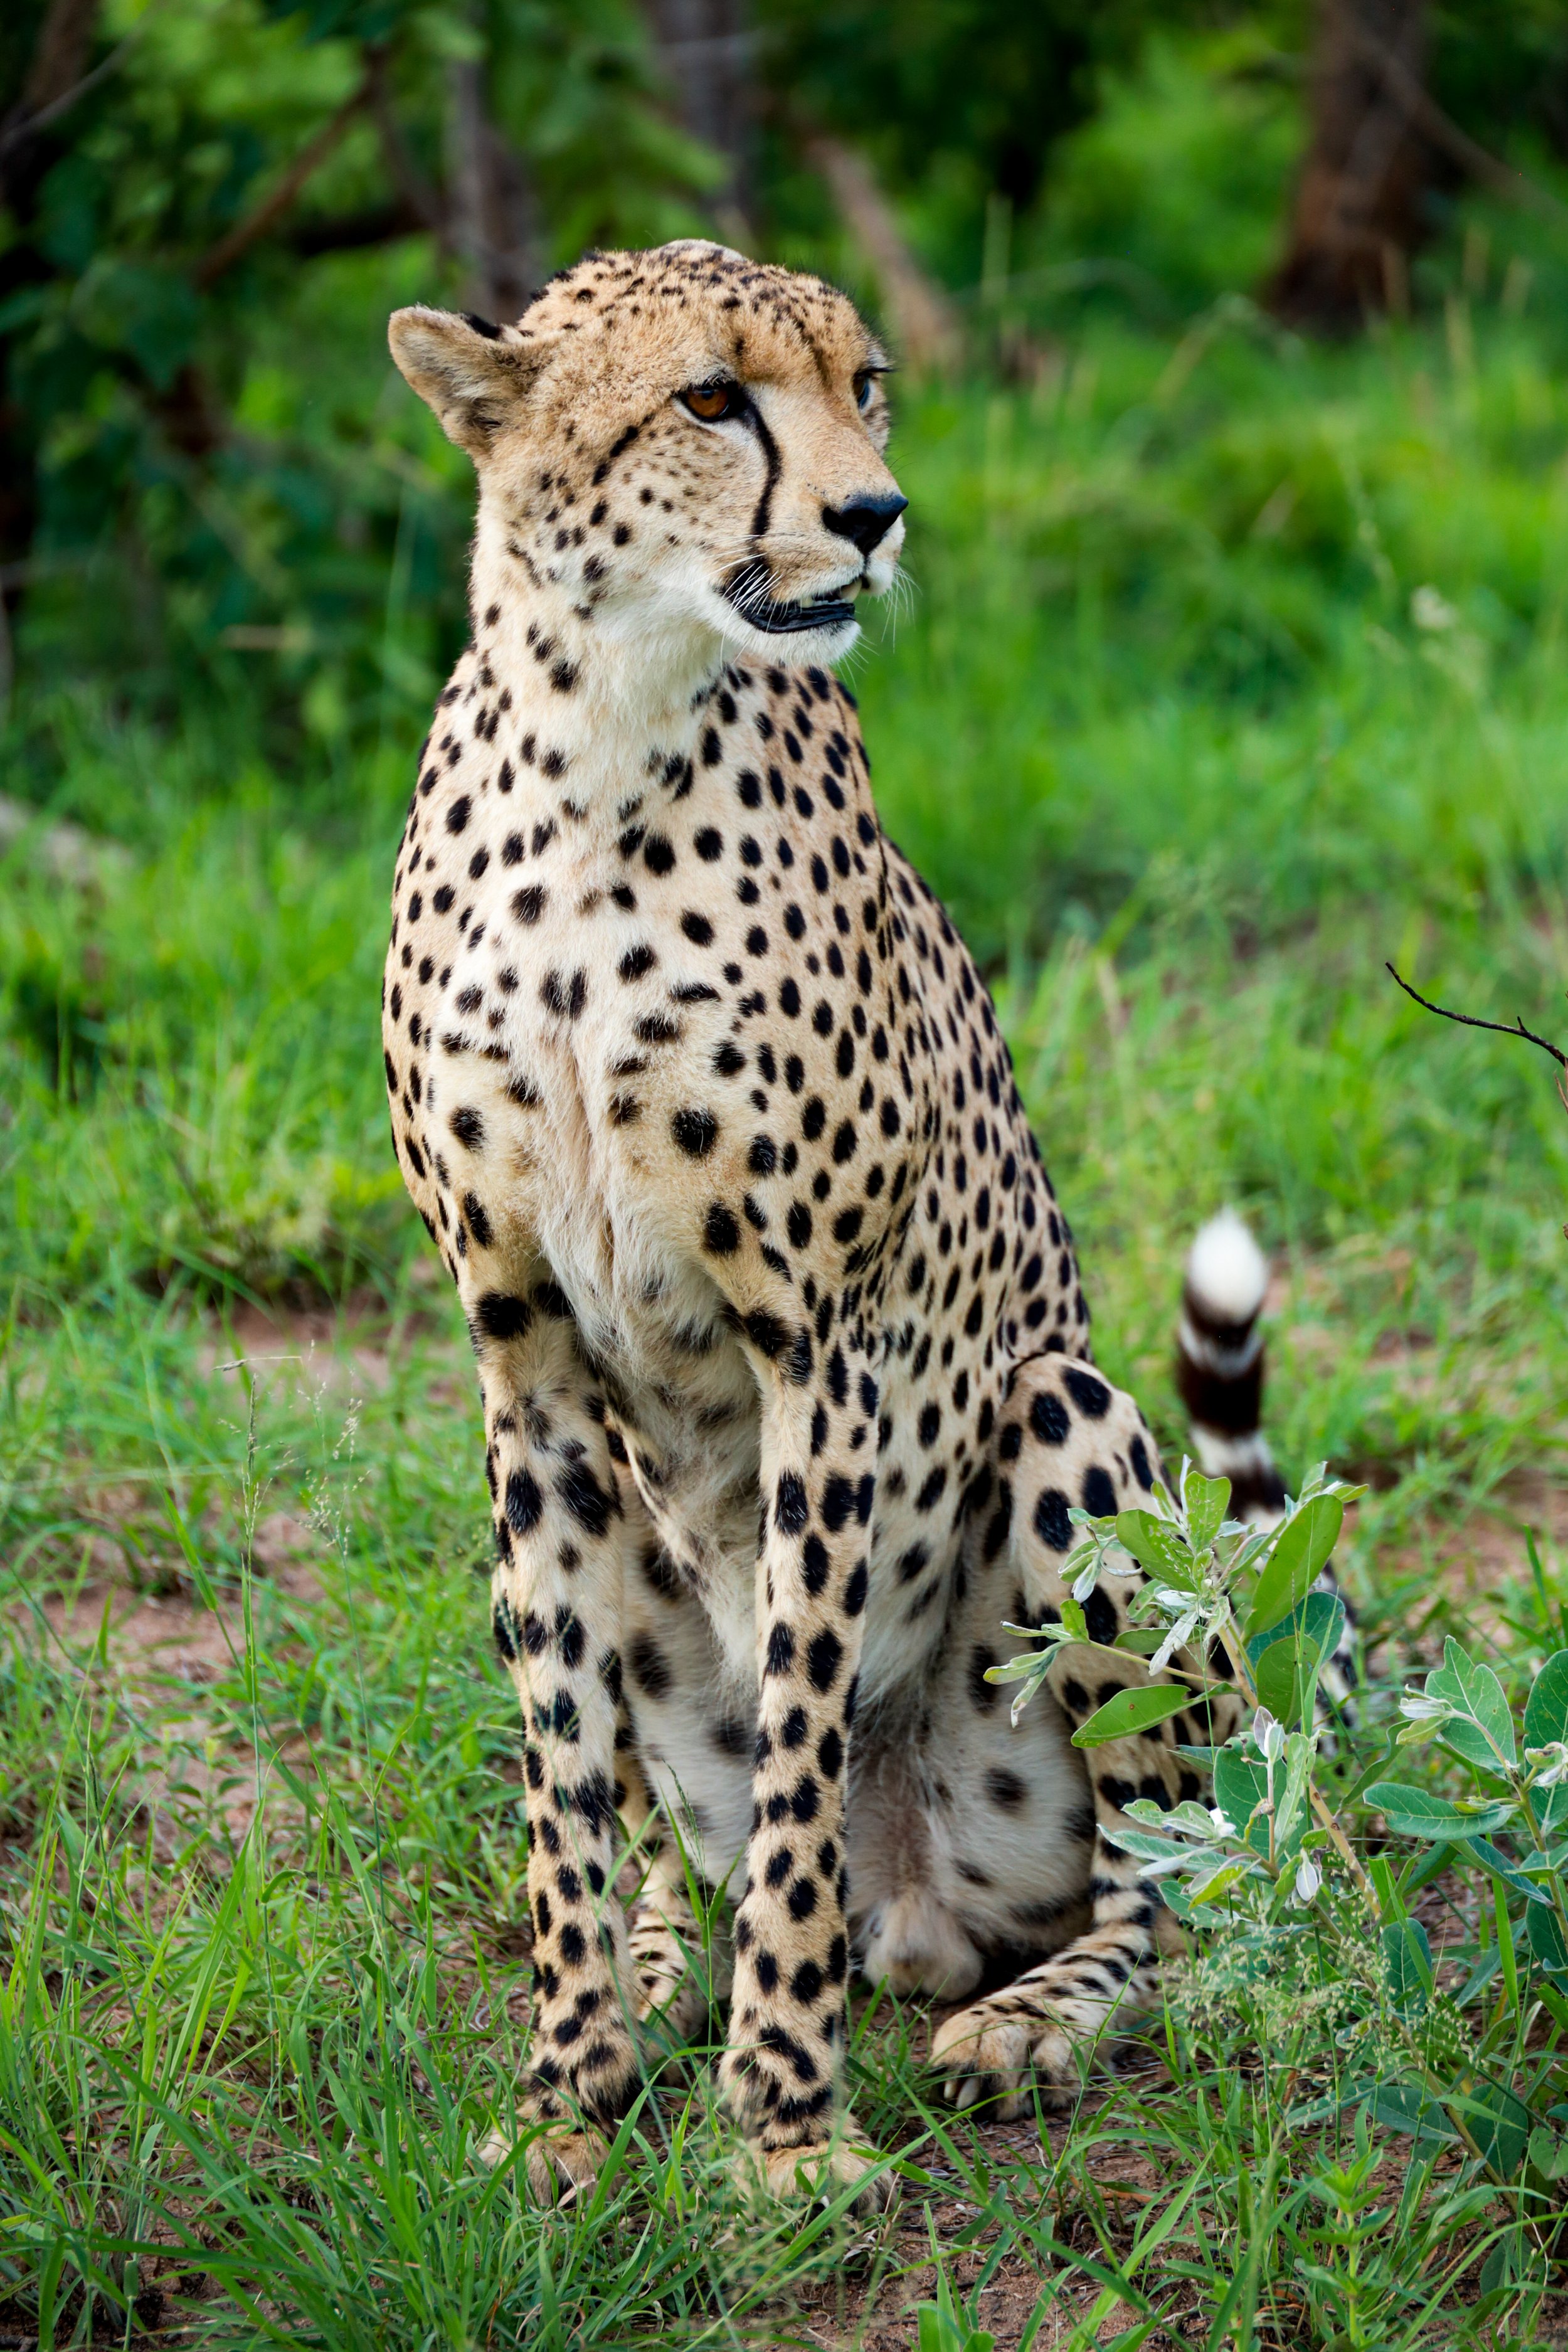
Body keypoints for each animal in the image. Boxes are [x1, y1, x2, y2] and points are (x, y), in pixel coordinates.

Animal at [379, 240, 1276, 2208]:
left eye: (865, 386)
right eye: (713, 399)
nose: (872, 514)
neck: (602, 739)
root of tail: (918, 1910)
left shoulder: (825, 1352)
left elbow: (800, 1737)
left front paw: (784, 2118)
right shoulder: (524, 1367)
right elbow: (564, 1777)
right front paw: (565, 2093)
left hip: (1063, 1421)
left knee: (1185, 1881)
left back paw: (1022, 2016)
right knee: (661, 1837)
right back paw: (657, 1971)